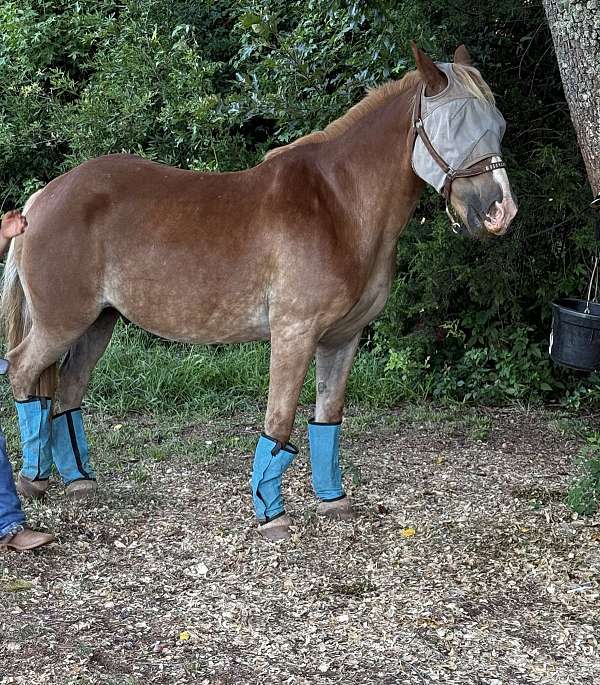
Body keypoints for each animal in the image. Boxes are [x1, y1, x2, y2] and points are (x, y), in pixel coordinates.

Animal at [1, 44, 517, 540]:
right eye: (454, 123)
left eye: (498, 125)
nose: (500, 212)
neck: (338, 206)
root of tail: (40, 200)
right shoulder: (294, 333)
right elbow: (280, 420)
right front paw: (272, 516)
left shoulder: (342, 338)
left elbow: (327, 417)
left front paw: (333, 501)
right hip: (62, 322)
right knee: (24, 373)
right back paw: (33, 482)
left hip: (98, 323)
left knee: (68, 388)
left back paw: (79, 481)